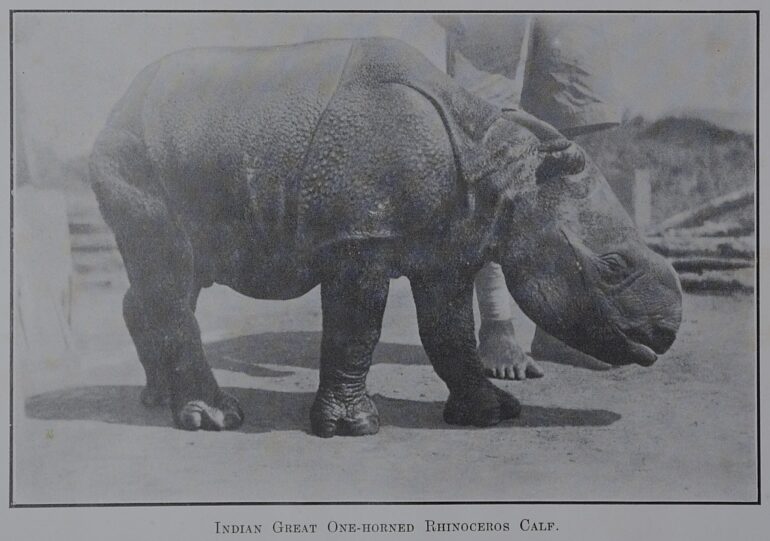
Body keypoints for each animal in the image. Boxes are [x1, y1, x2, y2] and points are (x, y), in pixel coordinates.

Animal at [90, 37, 682, 437]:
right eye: (613, 267)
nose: (667, 333)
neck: (504, 171)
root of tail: (116, 107)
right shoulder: (358, 240)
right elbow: (357, 330)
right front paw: (352, 429)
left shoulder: (449, 247)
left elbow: (449, 332)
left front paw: (491, 414)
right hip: (133, 155)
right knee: (168, 272)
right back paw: (216, 418)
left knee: (172, 278)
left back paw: (157, 400)